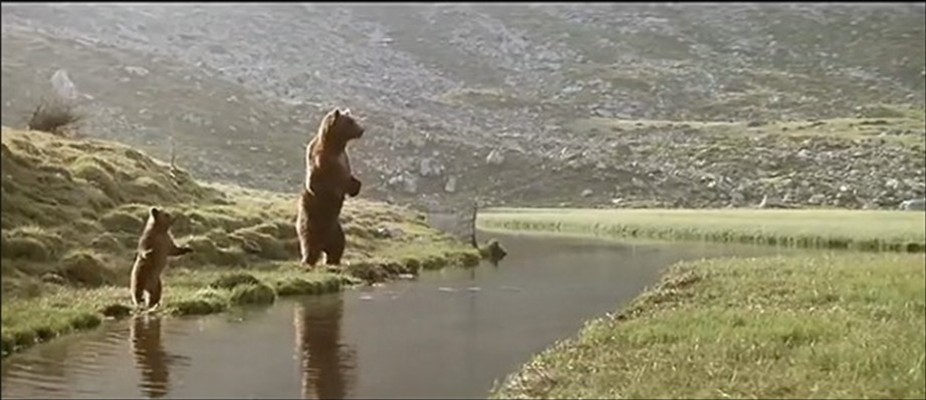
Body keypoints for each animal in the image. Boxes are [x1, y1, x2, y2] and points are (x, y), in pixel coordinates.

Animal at [296, 107, 365, 267]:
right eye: (350, 122)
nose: (362, 129)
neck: (335, 146)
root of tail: (323, 244)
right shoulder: (321, 161)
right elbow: (317, 183)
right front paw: (336, 194)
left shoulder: (344, 160)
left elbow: (349, 179)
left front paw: (356, 186)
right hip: (310, 225)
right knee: (309, 245)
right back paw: (307, 261)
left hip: (337, 231)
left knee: (338, 247)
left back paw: (333, 261)